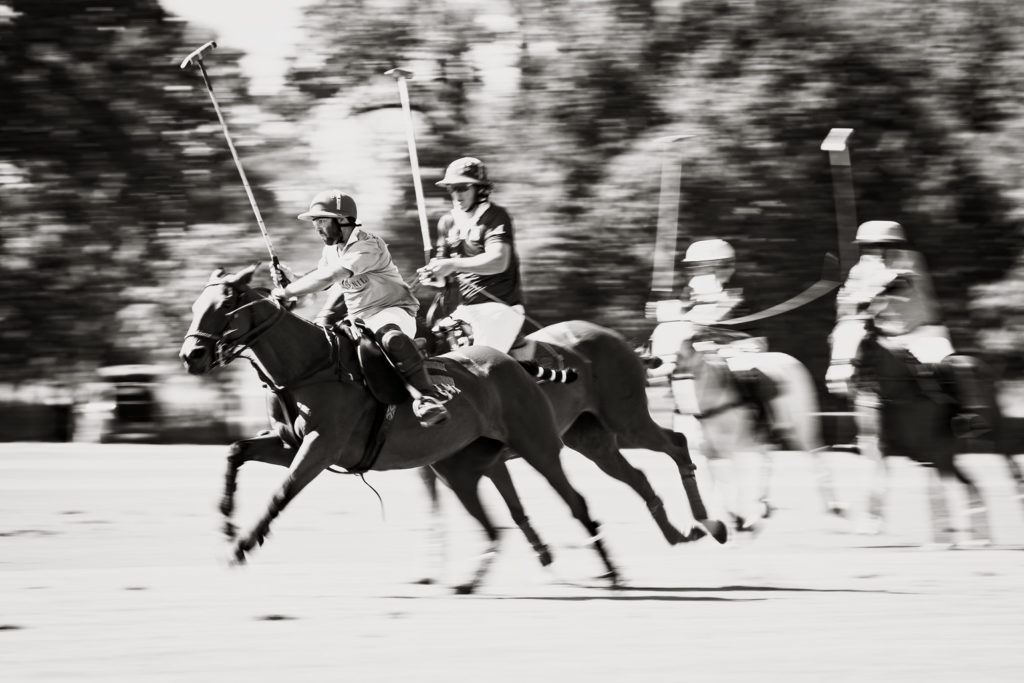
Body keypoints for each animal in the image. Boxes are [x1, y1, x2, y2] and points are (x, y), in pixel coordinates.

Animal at [647, 321, 839, 532]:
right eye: (654, 339)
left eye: (686, 339)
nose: (655, 362)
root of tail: (789, 359)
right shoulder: (706, 451)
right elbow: (717, 481)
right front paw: (728, 519)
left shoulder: (730, 447)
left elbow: (732, 479)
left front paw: (740, 519)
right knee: (768, 457)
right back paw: (764, 502)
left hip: (800, 426)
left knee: (816, 450)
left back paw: (833, 504)